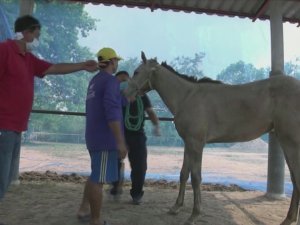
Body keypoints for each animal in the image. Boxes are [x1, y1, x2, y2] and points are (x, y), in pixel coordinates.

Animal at [125, 51, 300, 225]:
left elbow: (196, 177)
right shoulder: (188, 143)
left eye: (137, 72)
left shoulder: (196, 143)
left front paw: (194, 214)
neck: (187, 97)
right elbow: (183, 174)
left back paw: (289, 219)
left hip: (290, 143)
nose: (125, 93)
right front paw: (176, 207)